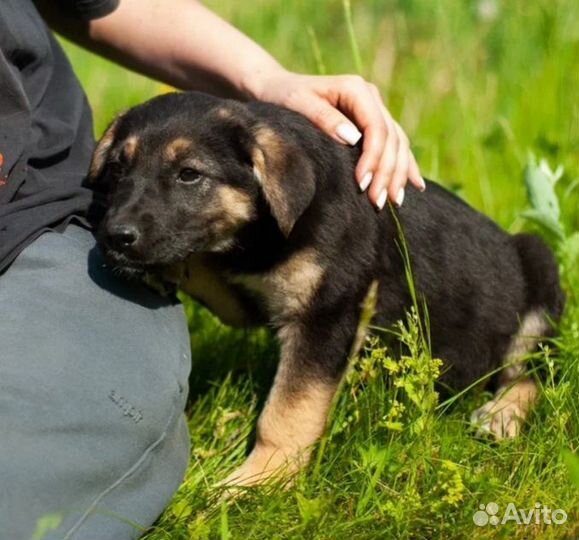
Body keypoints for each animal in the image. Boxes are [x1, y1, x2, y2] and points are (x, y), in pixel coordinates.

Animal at [89, 90, 560, 488]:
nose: (114, 236)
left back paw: (500, 418)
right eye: (117, 169)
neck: (260, 237)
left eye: (189, 175)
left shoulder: (327, 316)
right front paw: (165, 267)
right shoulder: (248, 298)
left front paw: (259, 482)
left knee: (530, 376)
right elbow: (206, 264)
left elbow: (288, 410)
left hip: (541, 273)